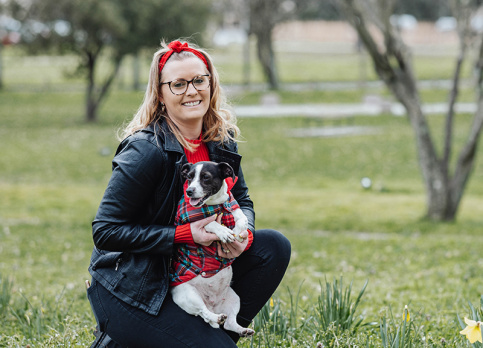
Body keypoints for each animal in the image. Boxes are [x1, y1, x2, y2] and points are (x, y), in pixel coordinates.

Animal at [169, 161, 255, 338]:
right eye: (189, 177)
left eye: (206, 177)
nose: (189, 191)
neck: (215, 204)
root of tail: (212, 305)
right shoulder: (188, 221)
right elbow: (210, 222)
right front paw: (223, 232)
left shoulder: (232, 205)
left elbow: (241, 217)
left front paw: (238, 233)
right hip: (190, 296)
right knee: (203, 313)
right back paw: (215, 317)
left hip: (234, 298)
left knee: (230, 323)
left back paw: (243, 330)